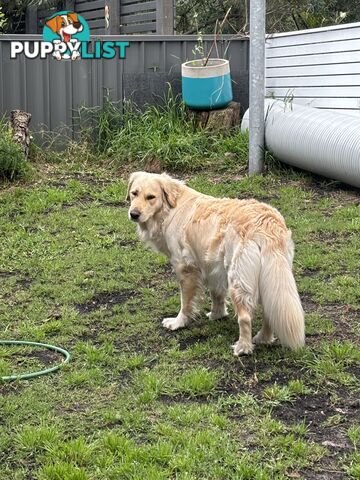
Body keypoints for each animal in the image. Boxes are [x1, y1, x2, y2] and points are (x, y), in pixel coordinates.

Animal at [126, 171, 304, 354]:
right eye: (134, 193)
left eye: (151, 197)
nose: (134, 214)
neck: (172, 208)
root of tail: (266, 224)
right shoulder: (212, 266)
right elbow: (216, 294)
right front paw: (216, 315)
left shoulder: (185, 268)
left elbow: (185, 303)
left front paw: (178, 323)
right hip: (268, 280)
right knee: (269, 312)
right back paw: (263, 339)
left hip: (237, 280)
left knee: (245, 317)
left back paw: (243, 347)